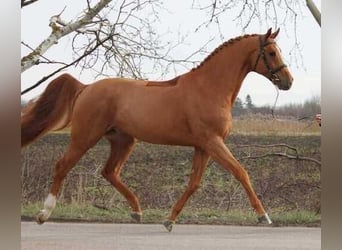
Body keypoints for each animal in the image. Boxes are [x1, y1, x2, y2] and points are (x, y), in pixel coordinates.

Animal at [21, 27, 292, 232]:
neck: (209, 88)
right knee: (63, 165)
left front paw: (169, 221)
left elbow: (193, 184)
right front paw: (264, 216)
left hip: (123, 140)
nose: (288, 81)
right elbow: (241, 172)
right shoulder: (213, 142)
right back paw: (44, 213)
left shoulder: (203, 146)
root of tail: (86, 87)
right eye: (271, 52)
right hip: (85, 136)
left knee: (110, 172)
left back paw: (137, 211)